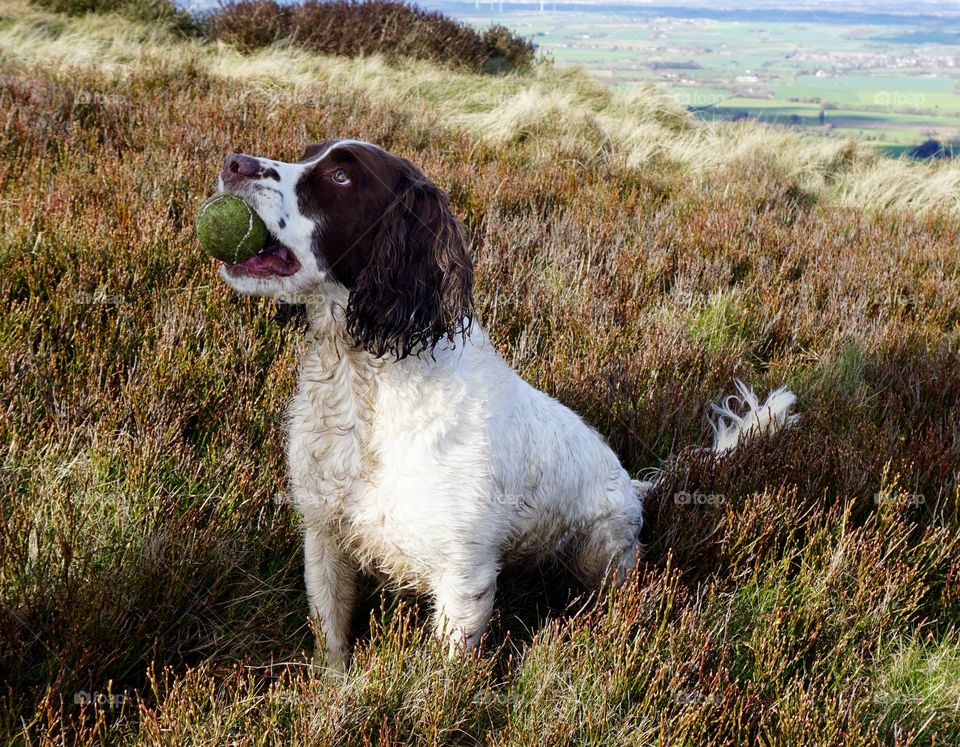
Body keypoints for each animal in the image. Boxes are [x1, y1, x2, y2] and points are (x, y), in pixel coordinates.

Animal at [216, 140, 796, 672]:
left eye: (340, 176)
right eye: (306, 152)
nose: (232, 162)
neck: (367, 384)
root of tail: (634, 484)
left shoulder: (463, 573)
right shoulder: (325, 537)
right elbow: (331, 637)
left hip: (603, 550)